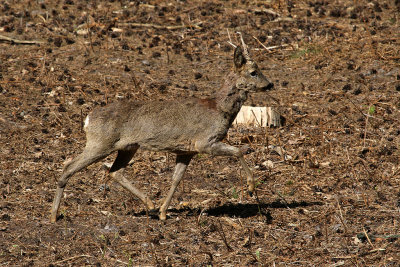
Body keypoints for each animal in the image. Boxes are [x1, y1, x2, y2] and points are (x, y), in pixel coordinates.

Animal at [50, 43, 274, 223]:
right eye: (253, 71)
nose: (270, 84)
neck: (220, 109)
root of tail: (88, 119)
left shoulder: (186, 151)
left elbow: (176, 179)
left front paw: (163, 212)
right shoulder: (204, 142)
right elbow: (238, 151)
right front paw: (251, 187)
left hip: (128, 147)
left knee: (114, 171)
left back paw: (150, 204)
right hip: (100, 143)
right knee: (69, 166)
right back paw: (53, 215)